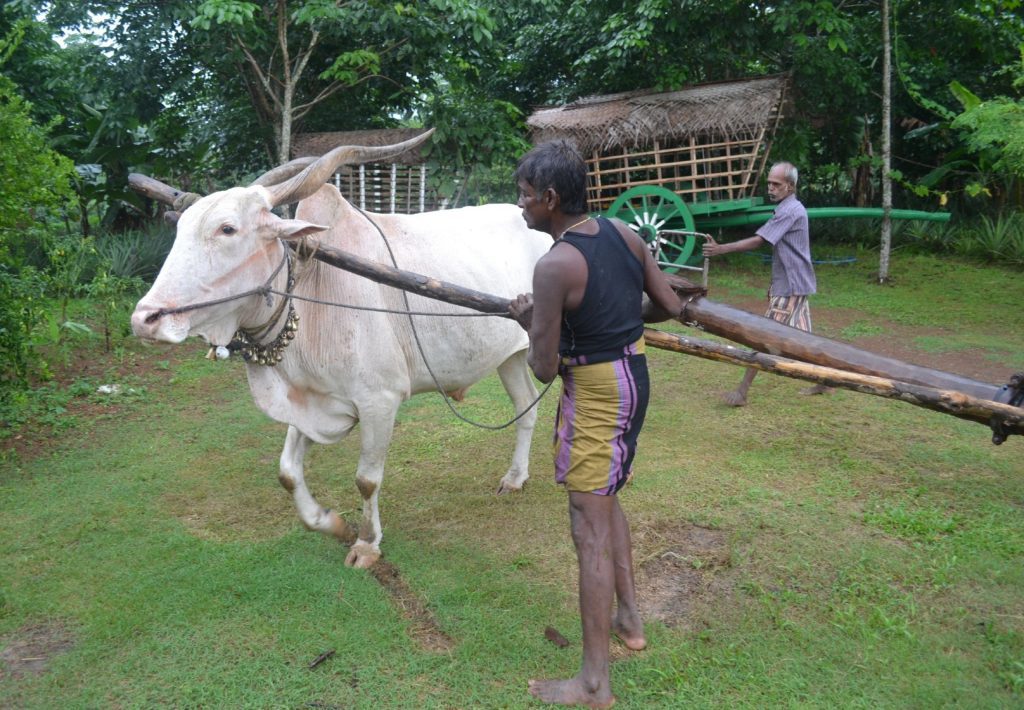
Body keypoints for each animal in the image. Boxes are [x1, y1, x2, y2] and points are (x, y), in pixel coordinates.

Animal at [137, 131, 557, 565]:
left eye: (227, 229)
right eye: (180, 228)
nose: (146, 318)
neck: (310, 290)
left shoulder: (380, 401)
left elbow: (366, 480)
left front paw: (367, 543)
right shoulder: (308, 399)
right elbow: (287, 472)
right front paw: (329, 522)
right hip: (510, 356)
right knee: (526, 406)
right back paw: (515, 477)